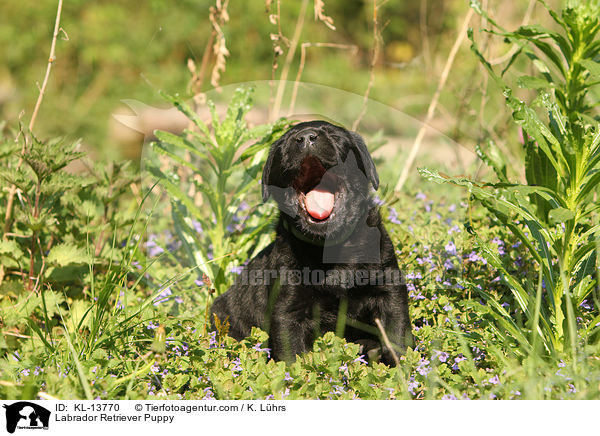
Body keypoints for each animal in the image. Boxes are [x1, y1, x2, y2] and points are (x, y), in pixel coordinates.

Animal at [211, 120, 412, 364]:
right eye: (285, 143)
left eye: (335, 136)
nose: (306, 137)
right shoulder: (288, 310)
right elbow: (293, 357)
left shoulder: (389, 289)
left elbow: (397, 336)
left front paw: (403, 371)